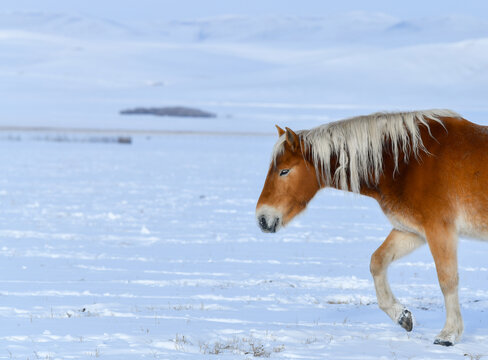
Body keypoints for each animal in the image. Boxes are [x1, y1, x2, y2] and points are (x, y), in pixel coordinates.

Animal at [255, 109, 488, 346]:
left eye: (284, 171)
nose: (262, 218)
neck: (409, 162)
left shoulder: (440, 231)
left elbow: (447, 280)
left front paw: (448, 334)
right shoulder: (412, 231)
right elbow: (377, 261)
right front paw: (402, 316)